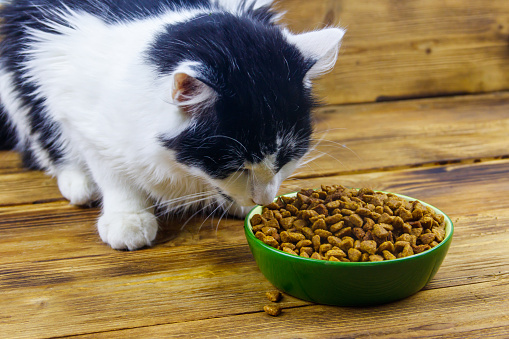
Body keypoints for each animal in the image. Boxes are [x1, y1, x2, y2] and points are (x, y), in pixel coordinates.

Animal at [0, 0, 344, 250]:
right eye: (236, 166)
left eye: (285, 160)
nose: (263, 200)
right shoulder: (80, 113)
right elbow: (113, 173)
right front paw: (128, 217)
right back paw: (79, 183)